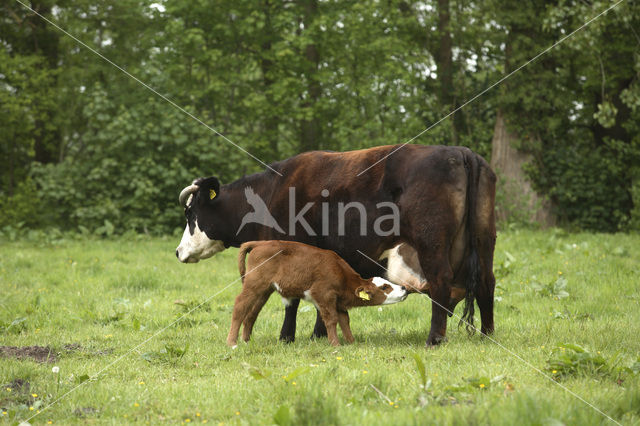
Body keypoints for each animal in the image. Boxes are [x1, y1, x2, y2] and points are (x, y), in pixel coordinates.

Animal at [229, 240, 410, 346]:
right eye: (384, 287)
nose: (404, 288)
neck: (341, 274)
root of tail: (261, 243)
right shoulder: (325, 296)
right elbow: (331, 320)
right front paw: (335, 344)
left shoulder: (339, 302)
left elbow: (345, 320)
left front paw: (351, 342)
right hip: (253, 285)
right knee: (239, 306)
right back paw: (232, 342)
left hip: (264, 290)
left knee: (251, 313)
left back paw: (246, 340)